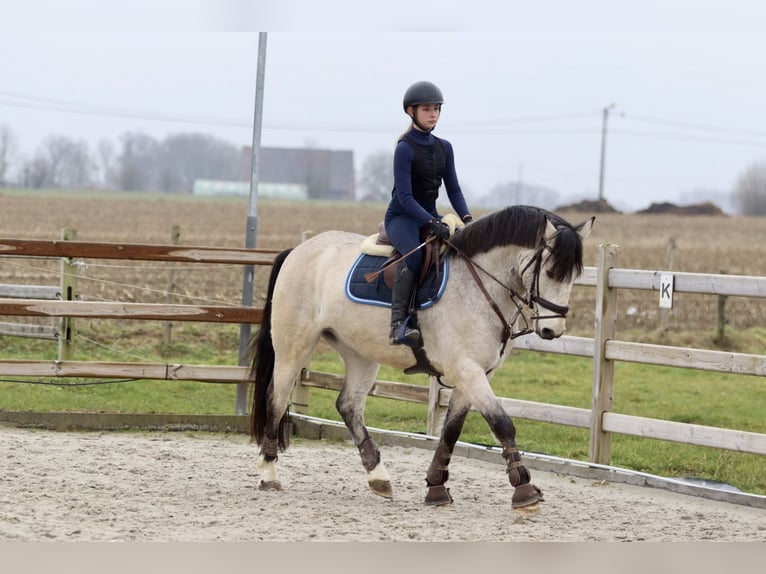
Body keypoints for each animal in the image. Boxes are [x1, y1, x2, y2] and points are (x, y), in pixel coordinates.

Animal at [249, 205, 596, 510]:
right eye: (550, 271)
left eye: (575, 274)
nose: (552, 330)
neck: (479, 287)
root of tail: (300, 249)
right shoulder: (467, 370)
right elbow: (502, 423)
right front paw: (524, 489)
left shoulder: (474, 374)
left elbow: (451, 431)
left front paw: (436, 487)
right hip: (294, 346)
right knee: (277, 399)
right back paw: (268, 474)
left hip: (360, 353)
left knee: (348, 406)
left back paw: (378, 477)